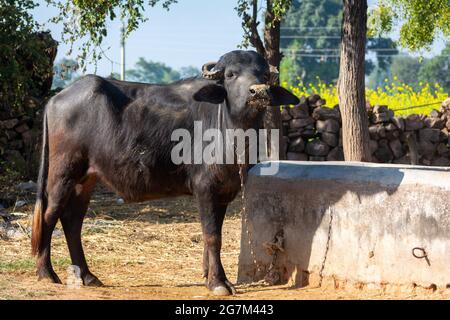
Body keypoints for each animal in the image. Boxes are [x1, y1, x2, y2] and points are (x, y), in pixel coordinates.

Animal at [31, 49, 298, 296]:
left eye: (263, 75)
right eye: (231, 74)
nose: (258, 92)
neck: (233, 132)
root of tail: (55, 100)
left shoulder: (224, 192)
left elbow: (213, 235)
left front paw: (209, 276)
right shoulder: (205, 189)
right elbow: (212, 236)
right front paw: (218, 282)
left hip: (86, 179)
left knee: (72, 221)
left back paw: (87, 275)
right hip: (62, 172)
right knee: (49, 215)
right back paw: (46, 273)